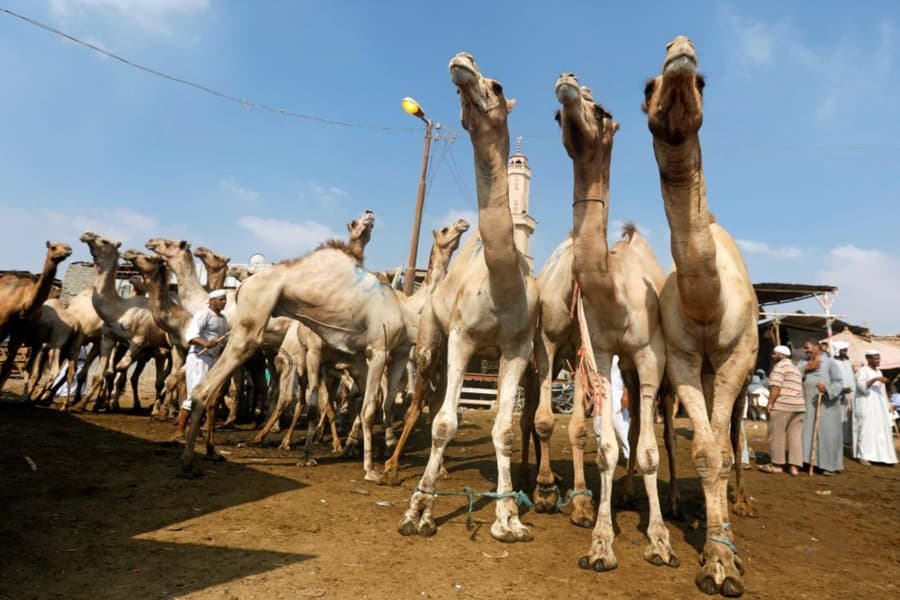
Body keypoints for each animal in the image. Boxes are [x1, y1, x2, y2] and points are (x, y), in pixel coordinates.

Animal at [179, 211, 412, 482]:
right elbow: (369, 407)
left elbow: (378, 401)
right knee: (209, 384)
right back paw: (194, 458)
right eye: (354, 223)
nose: (369, 212)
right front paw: (371, 469)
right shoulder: (379, 349)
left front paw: (382, 453)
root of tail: (240, 288)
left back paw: (199, 457)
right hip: (252, 325)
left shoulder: (368, 356)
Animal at [397, 53, 539, 543]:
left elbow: (504, 430)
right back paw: (394, 470)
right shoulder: (462, 335)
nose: (463, 62)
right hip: (430, 340)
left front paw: (509, 518)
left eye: (496, 87)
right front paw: (418, 511)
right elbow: (445, 422)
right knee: (422, 396)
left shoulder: (518, 346)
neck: (503, 282)